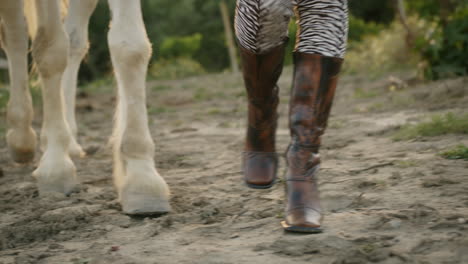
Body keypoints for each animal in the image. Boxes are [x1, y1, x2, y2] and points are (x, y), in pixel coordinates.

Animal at [0, 0, 172, 214]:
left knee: (73, 41)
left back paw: (69, 143)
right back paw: (21, 137)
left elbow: (131, 48)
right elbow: (50, 48)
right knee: (15, 33)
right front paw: (56, 166)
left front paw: (142, 178)